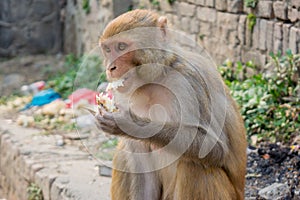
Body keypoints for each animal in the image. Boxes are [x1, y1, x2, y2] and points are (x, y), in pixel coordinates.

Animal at [95, 9, 246, 200]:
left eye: (121, 47)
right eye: (107, 49)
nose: (110, 68)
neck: (157, 78)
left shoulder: (189, 82)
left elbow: (214, 147)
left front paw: (130, 124)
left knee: (194, 166)